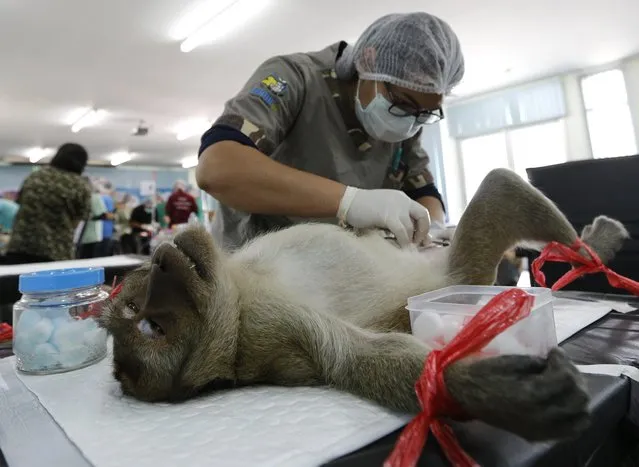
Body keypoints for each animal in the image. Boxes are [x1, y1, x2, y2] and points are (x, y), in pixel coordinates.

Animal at [100, 168, 632, 442]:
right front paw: (478, 387)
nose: (161, 260)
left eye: (135, 307)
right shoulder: (272, 326)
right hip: (461, 273)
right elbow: (357, 357)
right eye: (151, 327)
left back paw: (585, 254)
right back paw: (591, 259)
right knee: (498, 186)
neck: (240, 291)